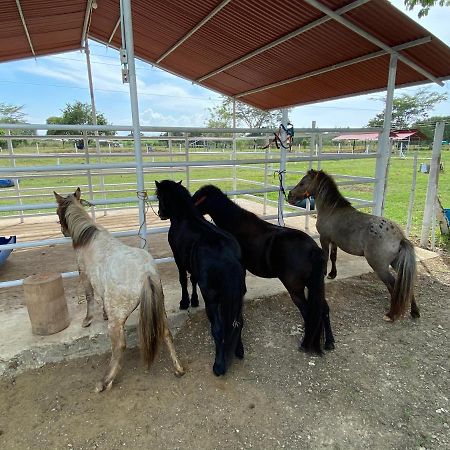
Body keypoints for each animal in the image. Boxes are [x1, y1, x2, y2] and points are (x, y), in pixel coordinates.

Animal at [54, 188, 185, 392]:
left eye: (58, 211)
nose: (63, 231)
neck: (88, 238)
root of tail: (146, 273)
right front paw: (103, 314)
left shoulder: (84, 275)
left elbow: (89, 297)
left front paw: (87, 320)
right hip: (160, 308)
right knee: (166, 332)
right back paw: (178, 369)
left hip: (117, 320)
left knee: (119, 346)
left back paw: (104, 382)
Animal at [155, 180, 246, 376]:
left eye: (158, 195)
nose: (160, 213)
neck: (186, 217)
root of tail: (229, 257)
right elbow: (193, 280)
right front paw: (194, 301)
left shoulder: (179, 260)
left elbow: (183, 279)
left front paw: (184, 302)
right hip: (239, 296)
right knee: (239, 322)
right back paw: (239, 350)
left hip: (211, 298)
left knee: (218, 329)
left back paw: (219, 365)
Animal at [192, 185, 336, 354]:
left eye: (198, 197)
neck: (235, 223)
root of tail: (313, 250)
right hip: (313, 285)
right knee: (323, 309)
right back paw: (329, 342)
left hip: (296, 288)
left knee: (308, 313)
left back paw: (306, 344)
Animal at [286, 171, 420, 322]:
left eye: (303, 183)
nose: (289, 196)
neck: (331, 210)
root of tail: (400, 237)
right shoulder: (334, 241)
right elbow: (333, 257)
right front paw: (332, 274)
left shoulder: (324, 238)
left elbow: (326, 255)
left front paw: (325, 273)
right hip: (397, 263)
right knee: (406, 285)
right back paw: (414, 311)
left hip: (380, 267)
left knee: (394, 285)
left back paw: (391, 314)